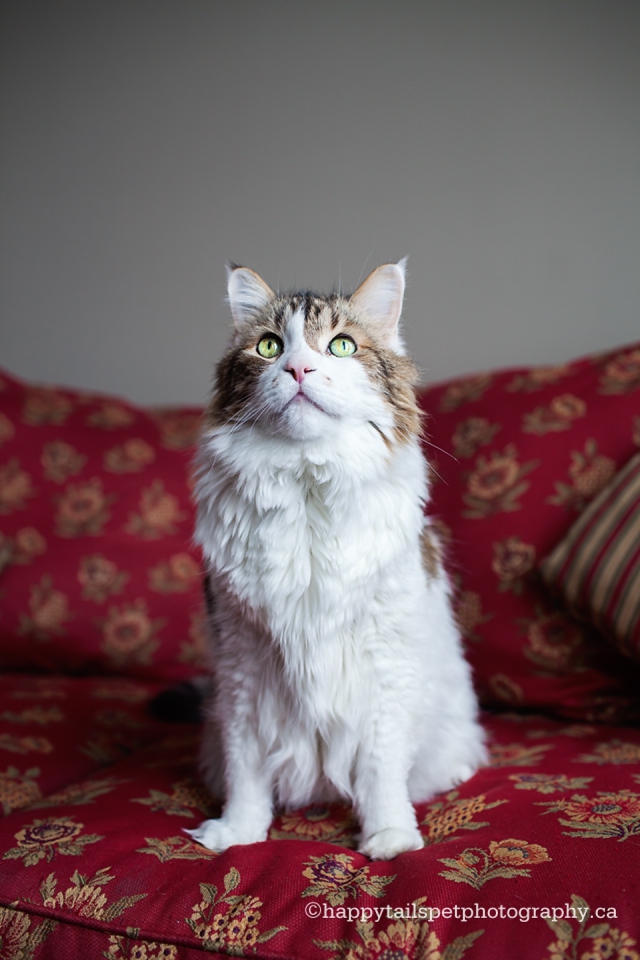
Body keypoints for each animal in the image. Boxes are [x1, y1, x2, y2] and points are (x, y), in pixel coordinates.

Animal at [188, 258, 488, 860]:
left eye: (342, 346)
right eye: (269, 346)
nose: (299, 368)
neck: (306, 484)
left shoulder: (385, 667)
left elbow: (381, 769)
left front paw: (390, 837)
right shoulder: (242, 668)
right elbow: (245, 768)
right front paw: (238, 832)